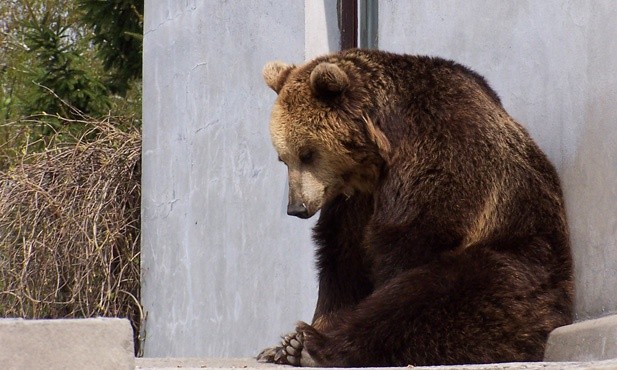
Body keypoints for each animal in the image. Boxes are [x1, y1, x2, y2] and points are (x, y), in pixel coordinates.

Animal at [255, 49, 572, 368]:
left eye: (306, 154)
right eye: (284, 159)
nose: (296, 207)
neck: (378, 155)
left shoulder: (443, 154)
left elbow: (409, 245)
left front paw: (306, 339)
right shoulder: (356, 203)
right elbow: (343, 258)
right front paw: (286, 343)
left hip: (525, 263)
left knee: (446, 293)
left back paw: (319, 347)